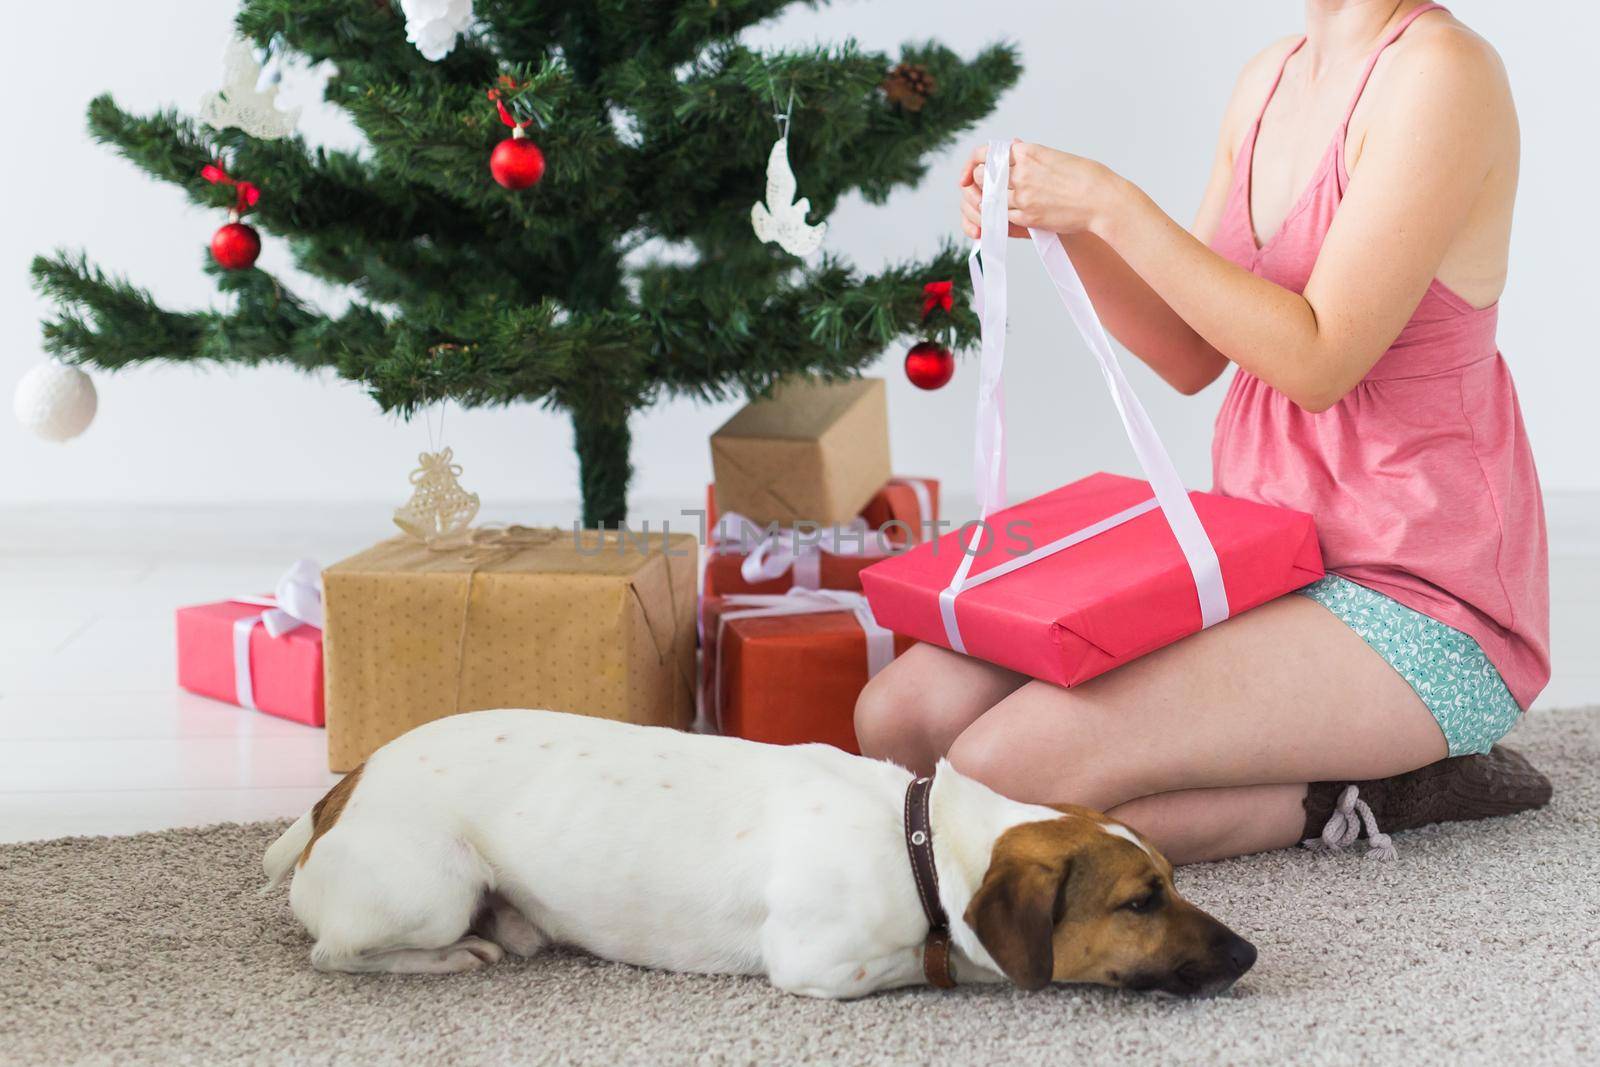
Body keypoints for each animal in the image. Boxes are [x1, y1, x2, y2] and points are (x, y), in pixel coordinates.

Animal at [262, 710, 1254, 1004]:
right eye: (1140, 901)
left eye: (1172, 882)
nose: (1249, 952)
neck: (922, 842)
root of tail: (342, 792)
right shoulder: (825, 964)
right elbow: (928, 962)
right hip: (432, 887)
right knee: (337, 952)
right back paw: (448, 954)